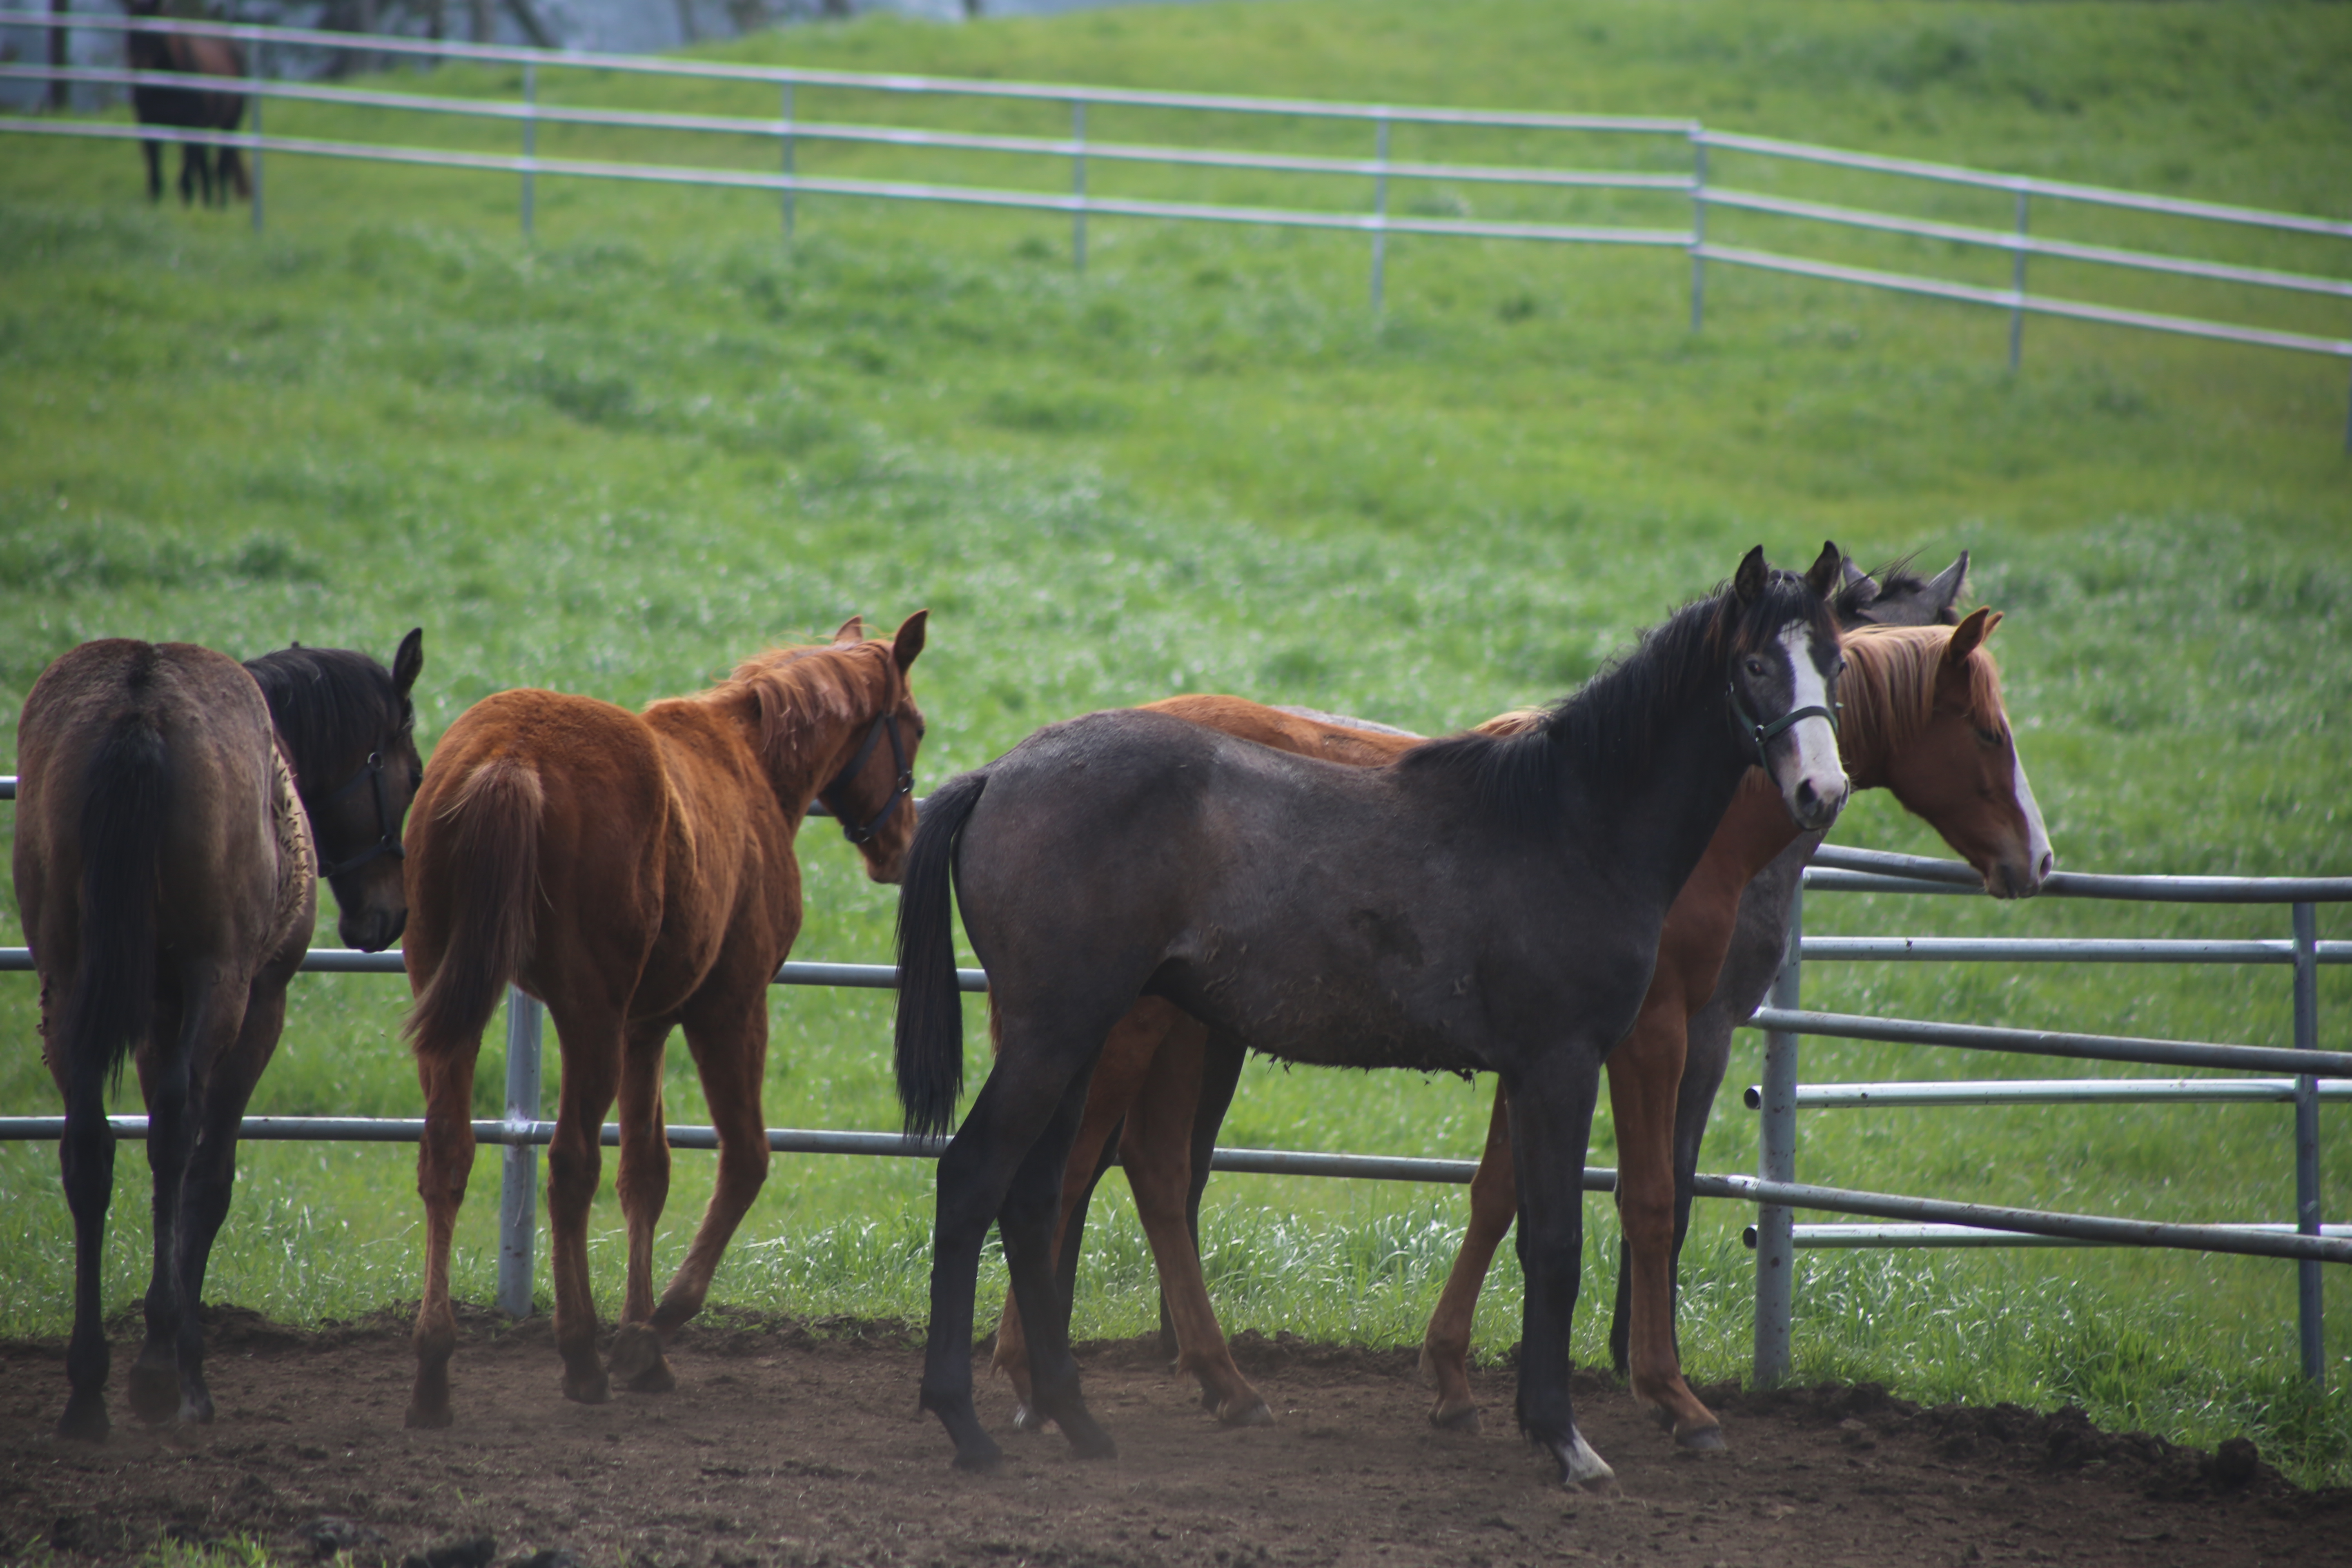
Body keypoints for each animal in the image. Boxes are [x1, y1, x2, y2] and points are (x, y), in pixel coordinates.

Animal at [15, 630, 423, 1439]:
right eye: (413, 774)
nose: (388, 915)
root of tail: (141, 704)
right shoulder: (258, 1004)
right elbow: (207, 1177)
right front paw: (182, 1362)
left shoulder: (157, 1014)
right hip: (221, 985)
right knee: (177, 1139)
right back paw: (161, 1370)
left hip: (69, 982)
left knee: (88, 1149)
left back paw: (88, 1386)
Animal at [125, 0, 247, 208]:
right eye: (130, 31)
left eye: (155, 33)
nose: (138, 65)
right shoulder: (147, 123)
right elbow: (156, 177)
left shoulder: (191, 125)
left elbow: (185, 180)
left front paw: (186, 210)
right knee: (206, 169)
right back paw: (208, 205)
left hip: (229, 124)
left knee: (220, 168)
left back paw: (219, 207)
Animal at [400, 611, 922, 1439]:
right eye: (914, 728)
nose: (901, 843)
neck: (749, 765)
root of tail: (511, 758)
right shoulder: (729, 1007)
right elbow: (744, 1160)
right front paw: (649, 1333)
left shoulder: (646, 1026)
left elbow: (645, 1173)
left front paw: (644, 1338)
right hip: (587, 1015)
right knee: (569, 1164)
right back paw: (580, 1356)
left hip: (453, 997)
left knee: (447, 1157)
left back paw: (433, 1371)